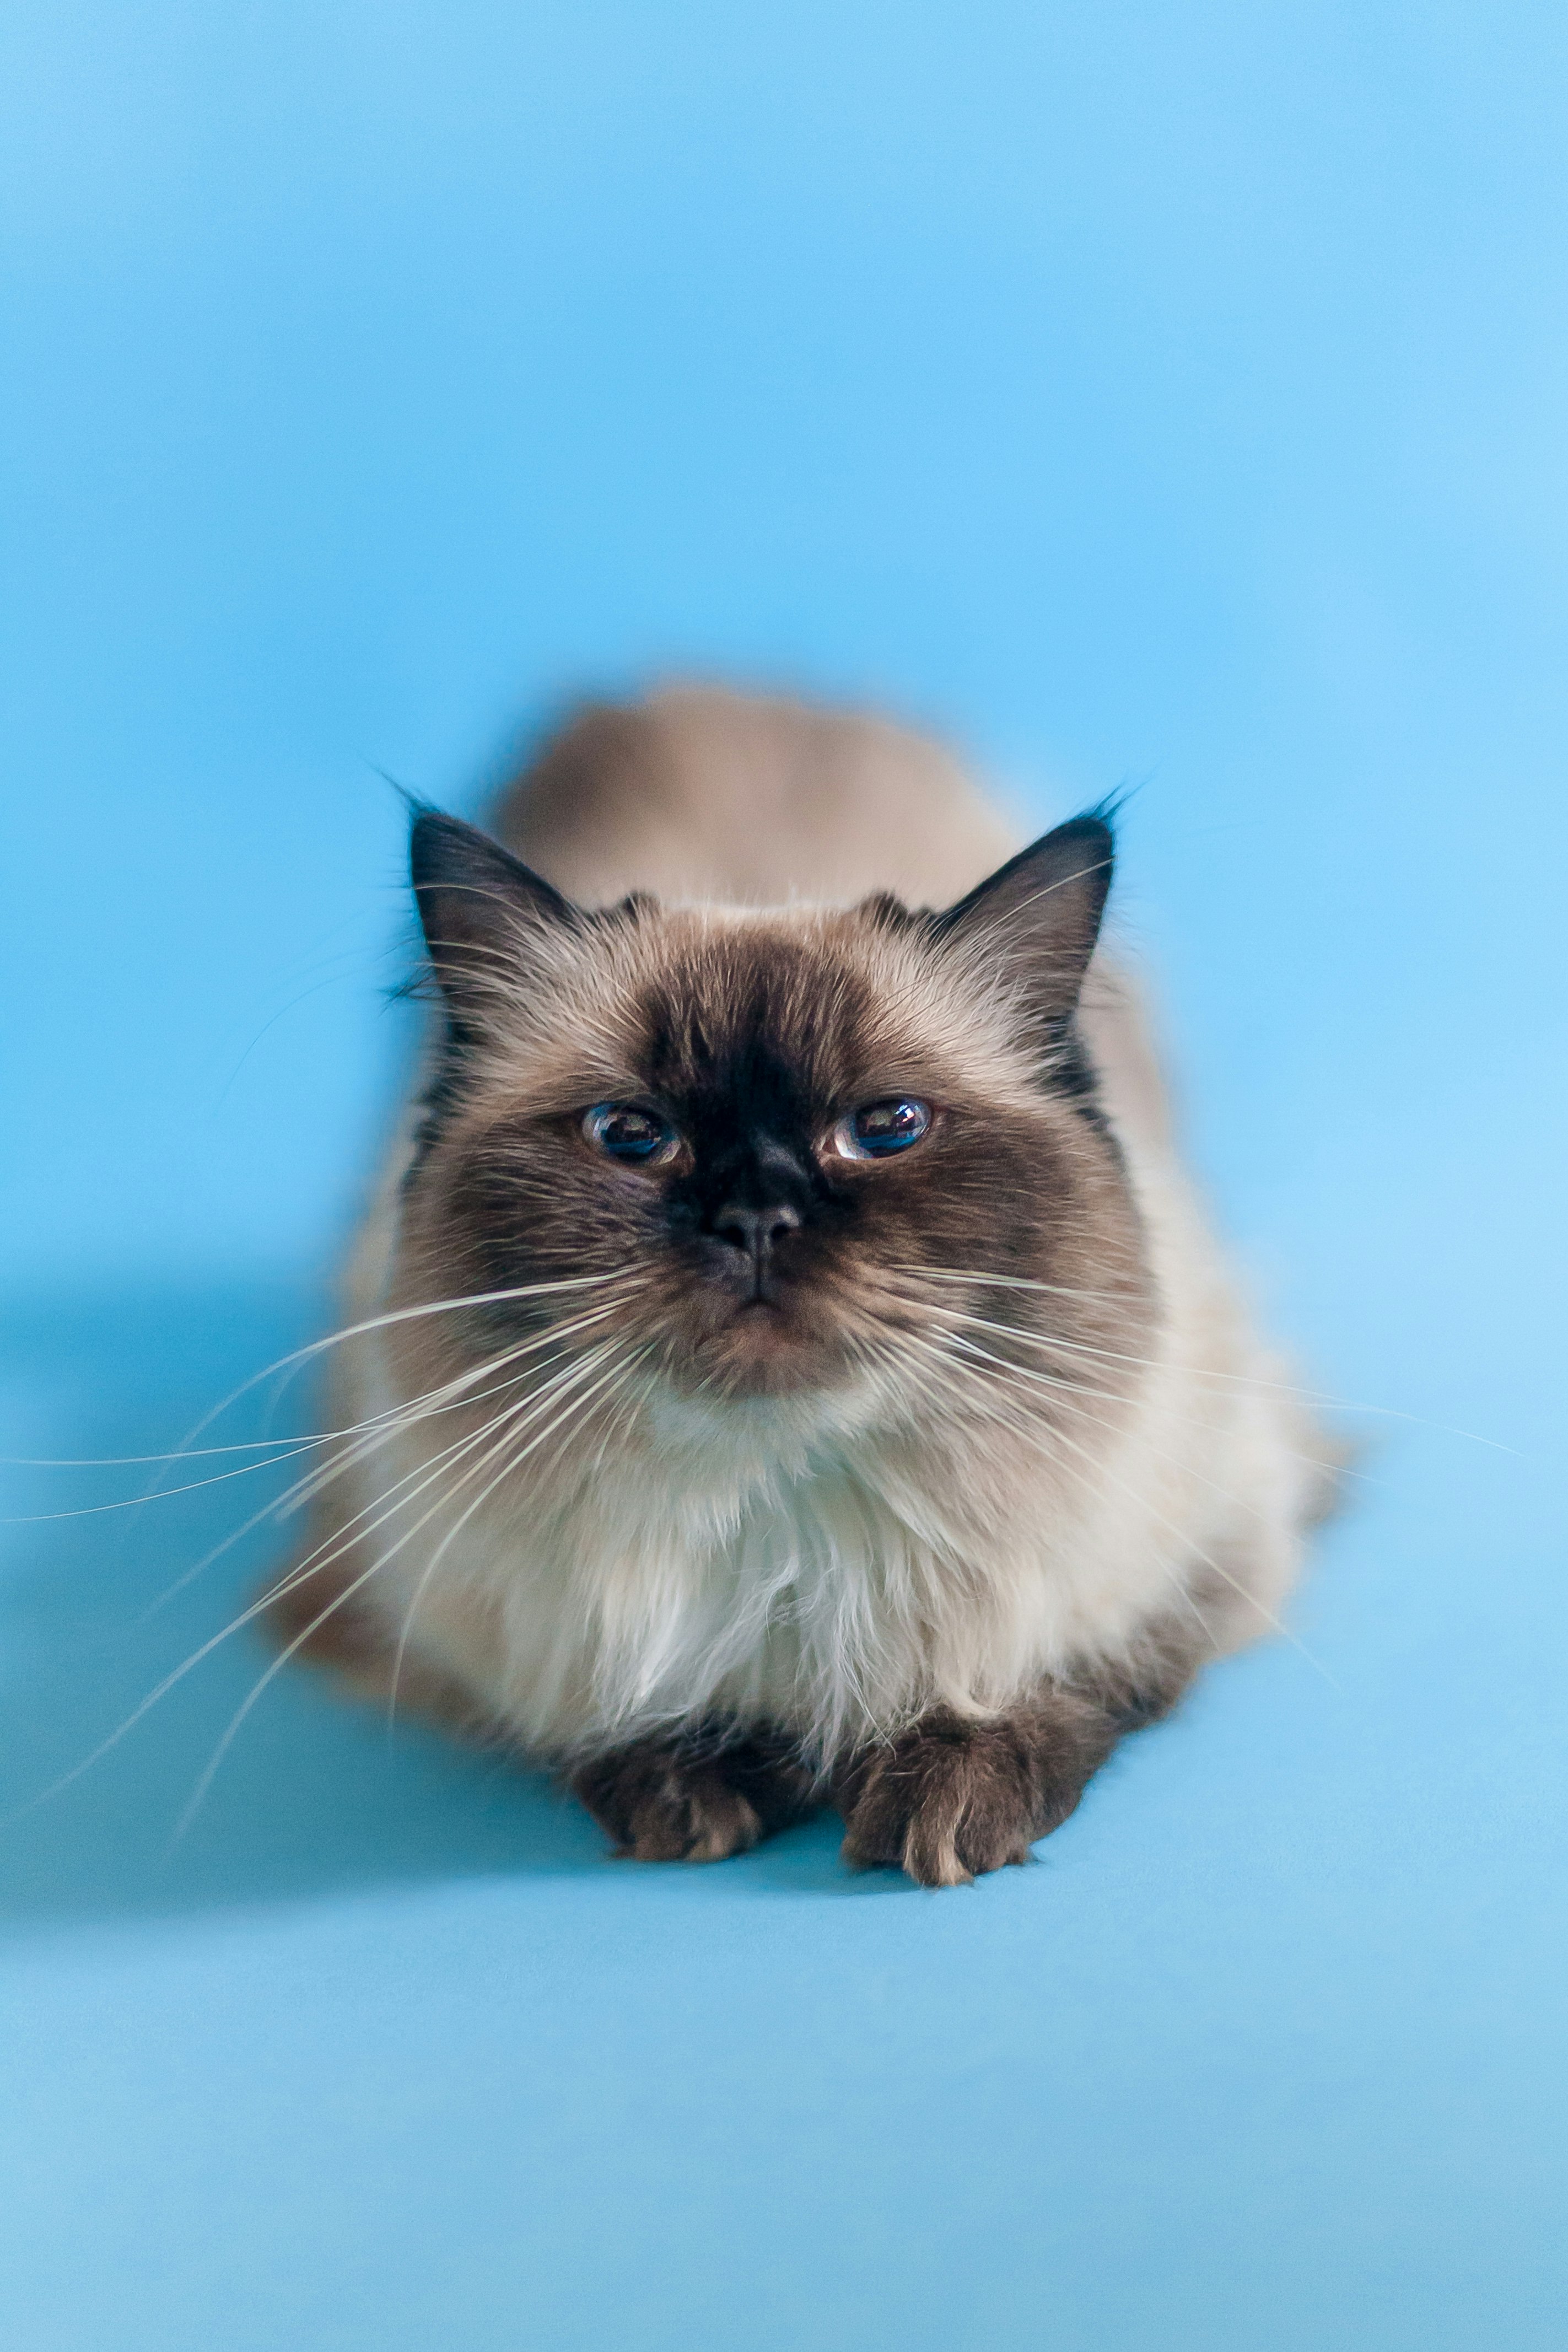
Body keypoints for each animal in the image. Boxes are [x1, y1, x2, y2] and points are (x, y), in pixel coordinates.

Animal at [267, 686, 1325, 1891]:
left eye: (887, 1127)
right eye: (633, 1136)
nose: (756, 1220)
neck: (785, 1534)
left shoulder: (1215, 1536)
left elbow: (1067, 1668)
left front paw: (945, 1794)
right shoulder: (419, 1609)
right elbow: (590, 1711)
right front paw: (689, 1786)